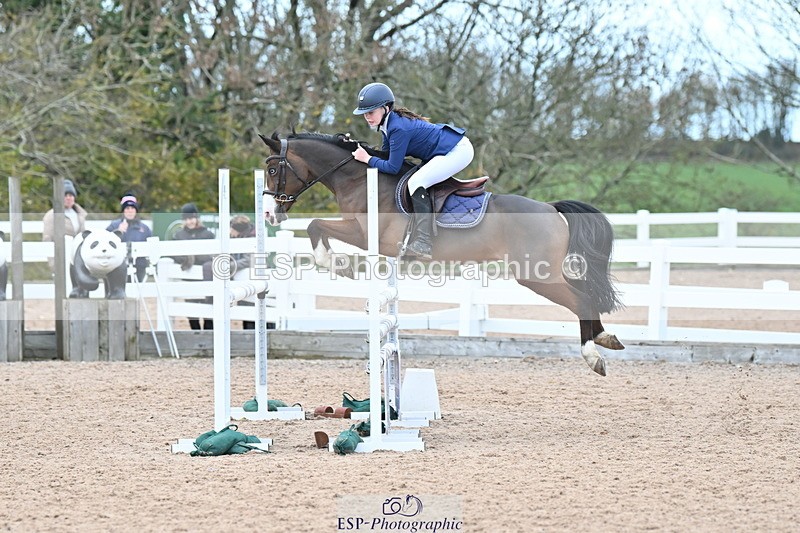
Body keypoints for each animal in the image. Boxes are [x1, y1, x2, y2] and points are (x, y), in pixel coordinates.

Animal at [258, 131, 624, 376]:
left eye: (274, 170)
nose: (269, 215)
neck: (358, 179)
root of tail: (550, 208)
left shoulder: (364, 234)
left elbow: (315, 226)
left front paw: (338, 264)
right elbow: (316, 227)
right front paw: (338, 264)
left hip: (537, 274)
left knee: (581, 298)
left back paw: (593, 355)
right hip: (545, 272)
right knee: (587, 293)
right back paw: (606, 337)